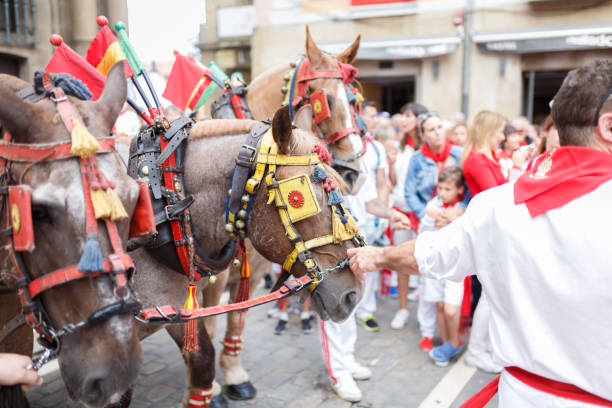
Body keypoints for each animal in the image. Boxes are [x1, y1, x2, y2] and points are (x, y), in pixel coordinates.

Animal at [203, 26, 366, 402]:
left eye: (354, 101)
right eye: (325, 100)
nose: (353, 173)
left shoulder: (256, 264)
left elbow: (236, 316)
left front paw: (233, 373)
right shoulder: (212, 273)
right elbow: (207, 319)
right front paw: (213, 384)